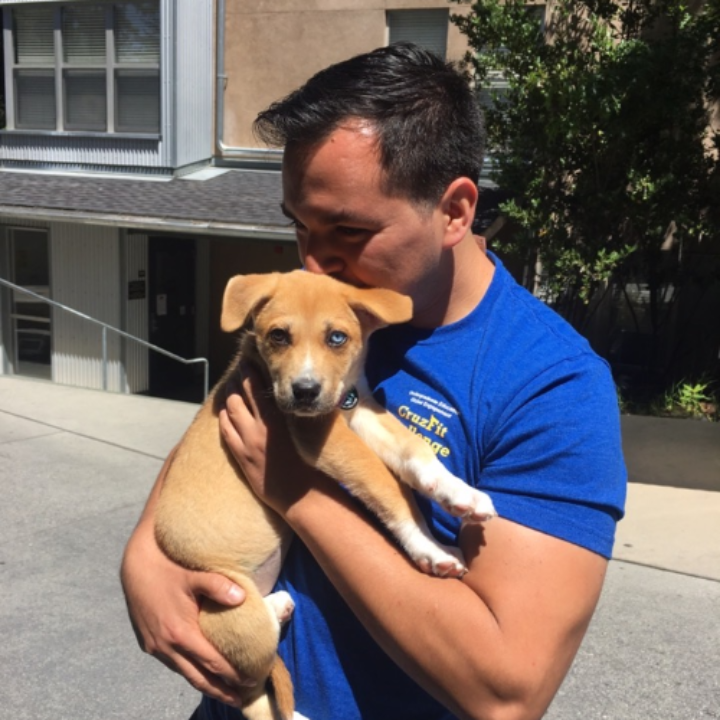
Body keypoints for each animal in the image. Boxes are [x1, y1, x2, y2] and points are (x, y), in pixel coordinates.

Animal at [155, 270, 496, 720]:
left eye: (337, 338)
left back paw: (280, 605)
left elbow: (414, 449)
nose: (304, 391)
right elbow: (387, 487)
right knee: (252, 692)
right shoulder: (320, 432)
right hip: (232, 603)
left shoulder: (359, 409)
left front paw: (458, 493)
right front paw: (430, 548)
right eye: (278, 336)